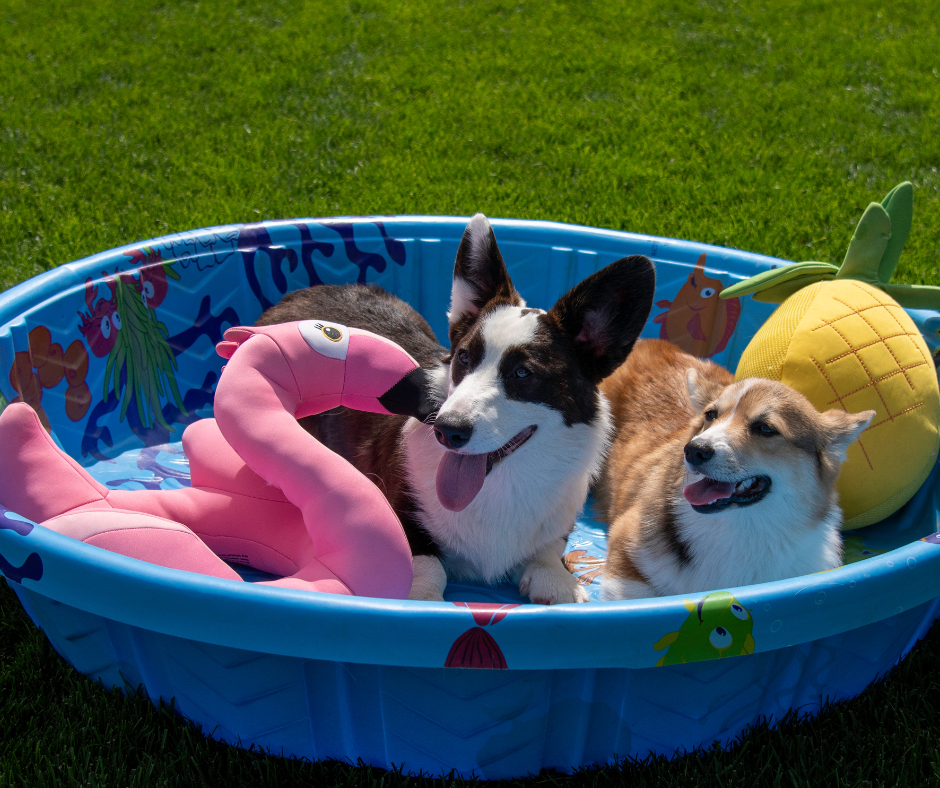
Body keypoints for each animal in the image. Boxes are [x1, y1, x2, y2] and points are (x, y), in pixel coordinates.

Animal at [255, 215, 652, 604]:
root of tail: (299, 294)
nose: (447, 431)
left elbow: (547, 553)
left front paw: (556, 582)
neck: (502, 487)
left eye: (523, 373)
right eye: (463, 357)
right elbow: (427, 564)